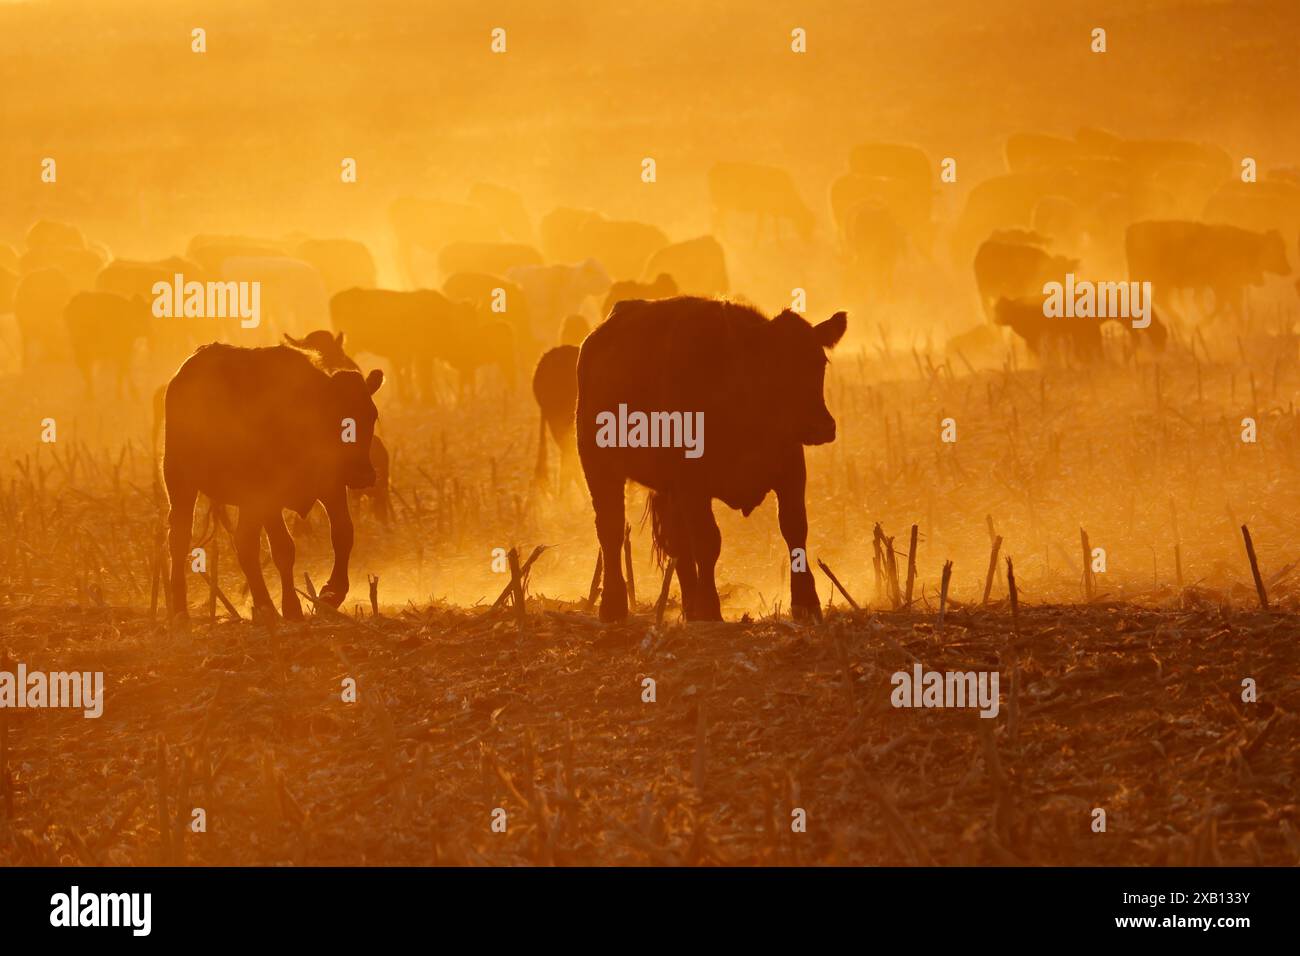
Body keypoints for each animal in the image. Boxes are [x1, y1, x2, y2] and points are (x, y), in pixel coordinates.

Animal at [577, 300, 842, 629]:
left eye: (820, 362)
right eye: (775, 366)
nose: (822, 427)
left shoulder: (791, 471)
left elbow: (795, 530)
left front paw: (807, 603)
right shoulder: (693, 485)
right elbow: (707, 541)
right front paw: (711, 609)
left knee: (677, 542)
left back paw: (690, 607)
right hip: (600, 467)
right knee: (611, 530)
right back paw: (613, 606)